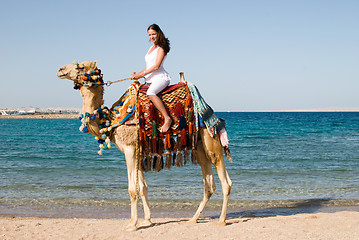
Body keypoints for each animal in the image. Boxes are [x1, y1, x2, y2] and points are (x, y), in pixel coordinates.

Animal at [56, 60, 233, 231]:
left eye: (80, 66)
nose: (60, 69)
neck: (113, 119)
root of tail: (212, 113)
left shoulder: (130, 148)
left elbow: (132, 189)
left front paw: (132, 225)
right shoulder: (137, 151)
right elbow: (143, 187)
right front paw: (147, 220)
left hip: (210, 139)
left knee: (225, 181)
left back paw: (221, 220)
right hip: (199, 146)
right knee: (209, 184)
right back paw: (193, 219)